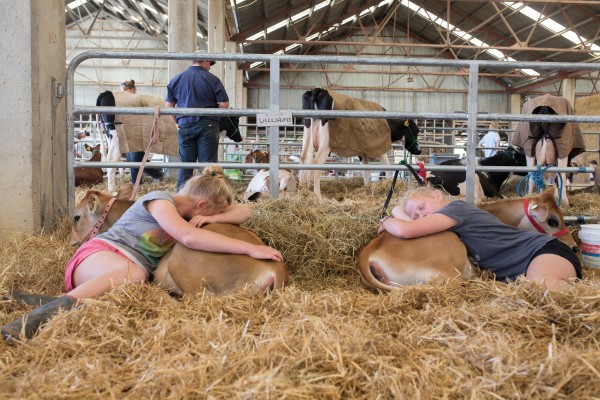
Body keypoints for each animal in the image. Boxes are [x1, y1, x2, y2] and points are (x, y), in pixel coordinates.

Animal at [96, 91, 241, 191]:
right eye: (235, 120)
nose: (240, 138)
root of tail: (107, 92)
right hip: (116, 139)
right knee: (112, 161)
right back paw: (112, 188)